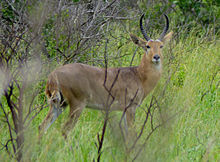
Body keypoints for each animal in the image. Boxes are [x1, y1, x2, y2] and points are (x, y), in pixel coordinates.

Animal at [39, 13, 174, 139]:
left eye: (161, 46)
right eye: (147, 46)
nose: (156, 57)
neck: (138, 75)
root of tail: (53, 75)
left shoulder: (124, 111)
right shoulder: (130, 108)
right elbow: (132, 134)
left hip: (59, 105)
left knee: (43, 126)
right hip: (76, 105)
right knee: (65, 130)